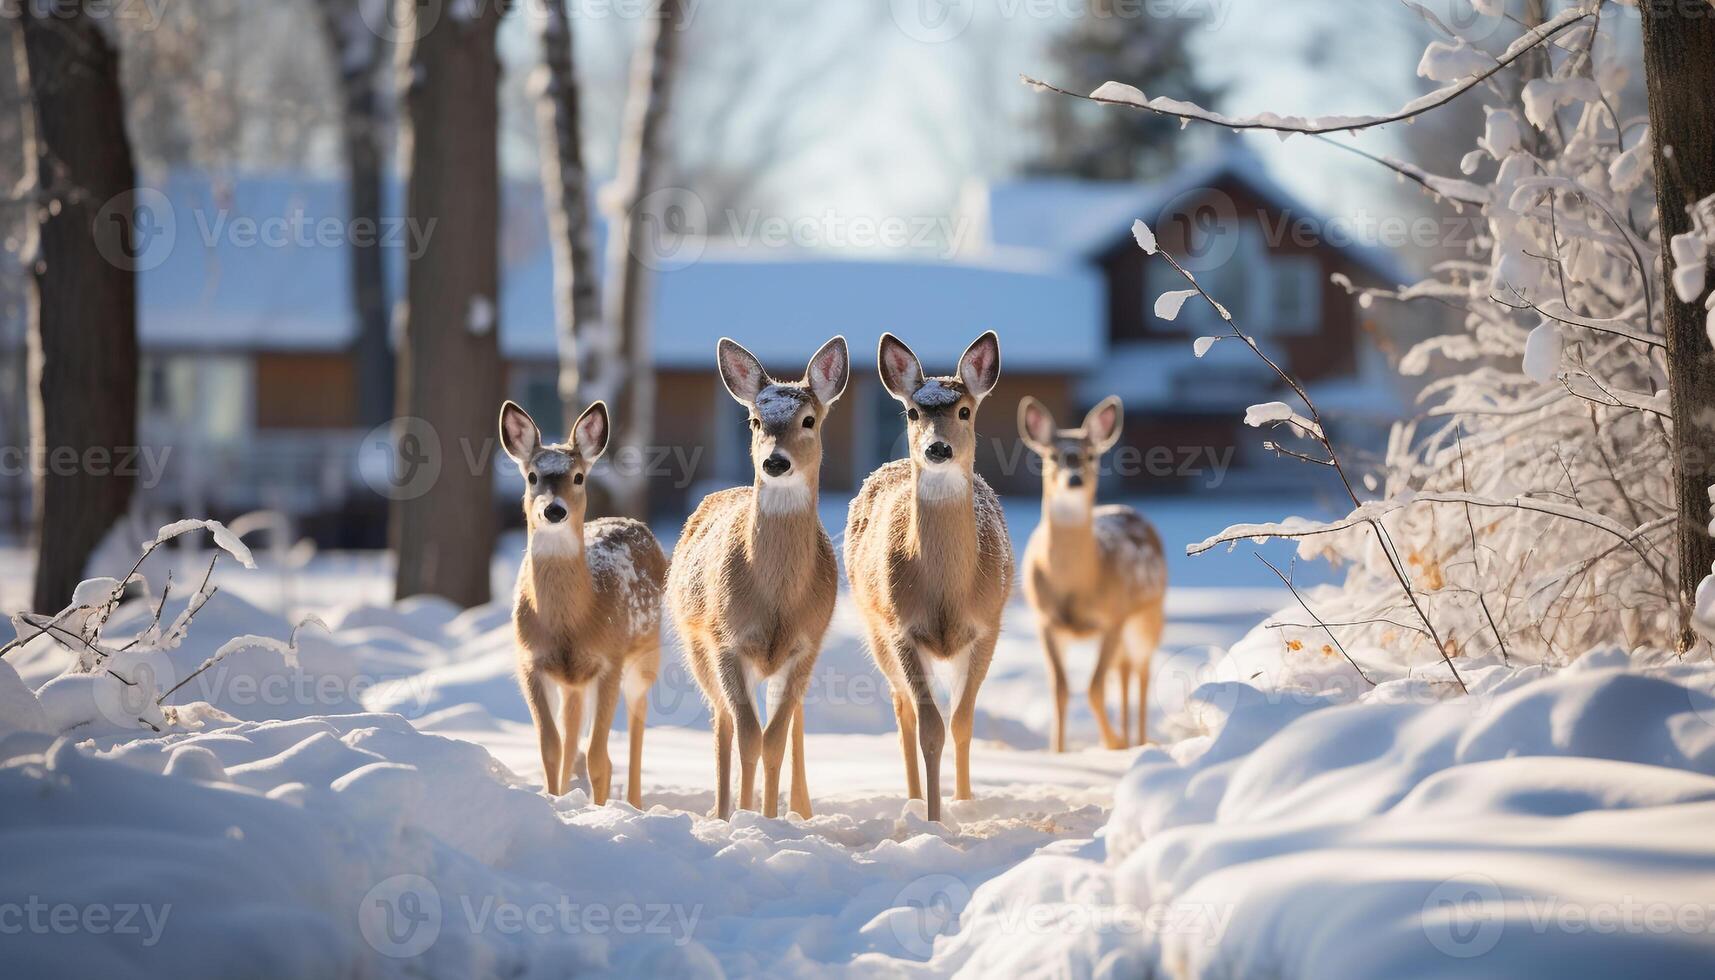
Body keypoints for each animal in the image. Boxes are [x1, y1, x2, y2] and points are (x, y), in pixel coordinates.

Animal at [500, 398, 665, 806]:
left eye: (578, 477)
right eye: (532, 477)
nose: (554, 510)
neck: (572, 622)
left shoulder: (609, 660)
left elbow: (599, 757)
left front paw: (600, 810)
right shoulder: (530, 661)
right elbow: (550, 745)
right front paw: (555, 802)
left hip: (645, 653)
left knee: (637, 722)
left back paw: (634, 802)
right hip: (572, 682)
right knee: (571, 730)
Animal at [672, 338, 854, 820]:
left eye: (808, 419)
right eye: (755, 420)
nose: (775, 461)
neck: (775, 599)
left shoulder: (805, 646)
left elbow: (773, 740)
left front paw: (771, 819)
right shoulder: (726, 642)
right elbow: (749, 737)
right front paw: (745, 817)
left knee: (793, 722)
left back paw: (801, 809)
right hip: (696, 646)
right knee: (722, 722)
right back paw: (720, 811)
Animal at [840, 332, 1008, 823]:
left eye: (965, 410)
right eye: (913, 412)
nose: (937, 448)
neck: (948, 593)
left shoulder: (988, 625)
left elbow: (963, 721)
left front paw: (964, 804)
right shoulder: (902, 627)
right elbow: (931, 728)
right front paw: (934, 821)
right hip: (874, 628)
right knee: (904, 711)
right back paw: (914, 803)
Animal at [1015, 394, 1166, 755]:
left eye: (1091, 455)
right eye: (1052, 455)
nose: (1074, 479)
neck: (1076, 586)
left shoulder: (1113, 617)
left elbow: (1094, 688)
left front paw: (1114, 743)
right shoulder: (1045, 621)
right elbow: (1060, 687)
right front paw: (1057, 751)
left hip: (1146, 617)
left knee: (1141, 671)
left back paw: (1138, 740)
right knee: (1123, 672)